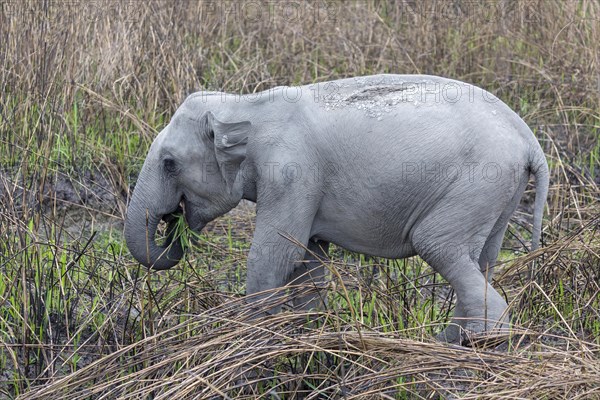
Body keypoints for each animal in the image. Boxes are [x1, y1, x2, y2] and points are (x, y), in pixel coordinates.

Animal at [125, 75, 548, 344]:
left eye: (169, 164)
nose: (173, 222)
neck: (246, 103)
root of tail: (530, 141)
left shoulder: (292, 172)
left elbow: (276, 253)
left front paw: (253, 337)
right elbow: (309, 259)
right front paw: (305, 333)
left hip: (477, 184)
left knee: (438, 245)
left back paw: (462, 344)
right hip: (497, 196)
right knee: (481, 260)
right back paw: (453, 338)